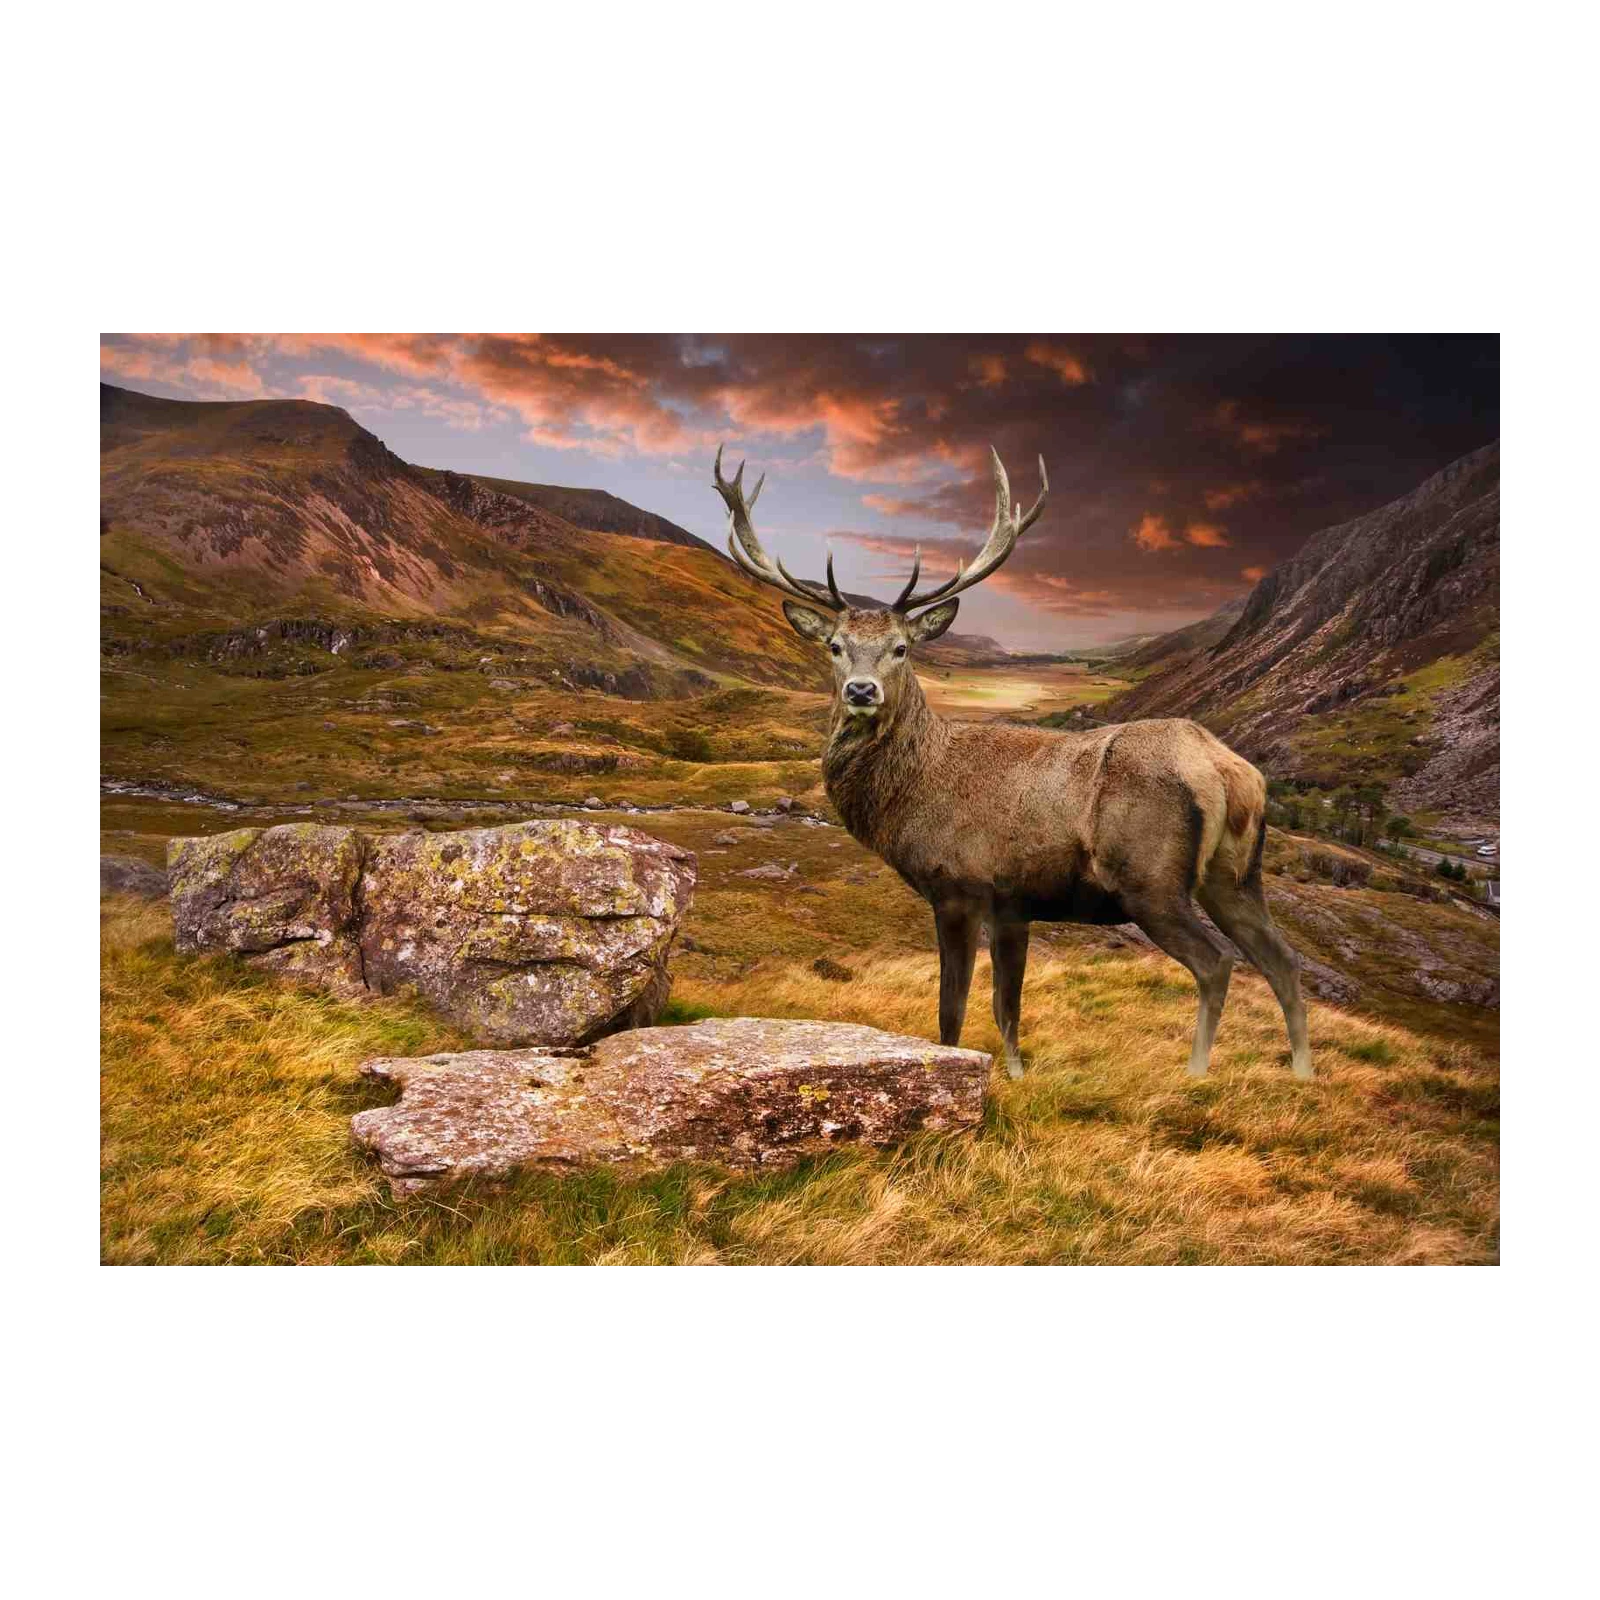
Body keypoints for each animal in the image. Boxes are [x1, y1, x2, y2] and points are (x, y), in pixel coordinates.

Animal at [711, 444, 1314, 1082]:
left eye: (902, 647)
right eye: (834, 646)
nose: (861, 690)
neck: (913, 795)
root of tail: (1228, 771)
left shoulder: (959, 885)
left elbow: (952, 1009)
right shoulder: (1014, 905)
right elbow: (1007, 1008)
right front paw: (1017, 1076)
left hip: (1151, 879)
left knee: (1217, 963)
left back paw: (1197, 1072)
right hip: (1236, 876)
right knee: (1283, 959)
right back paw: (1303, 1074)